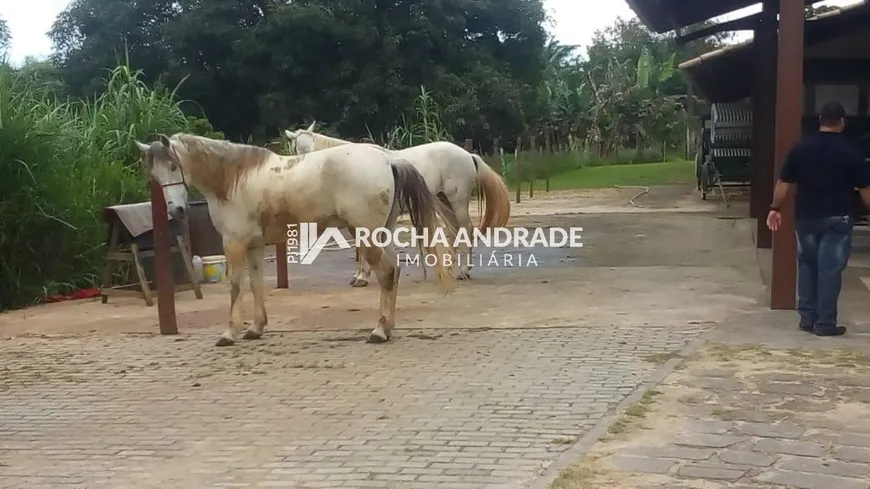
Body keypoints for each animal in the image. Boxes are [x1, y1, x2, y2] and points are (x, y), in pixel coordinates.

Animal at [135, 133, 456, 346]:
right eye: (154, 174)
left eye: (174, 166)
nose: (176, 210)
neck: (234, 180)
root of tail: (389, 159)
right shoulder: (254, 246)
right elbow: (256, 284)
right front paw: (255, 329)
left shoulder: (234, 244)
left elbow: (236, 286)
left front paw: (229, 334)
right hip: (380, 233)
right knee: (393, 271)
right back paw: (387, 328)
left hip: (367, 236)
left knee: (387, 273)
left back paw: (378, 331)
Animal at [286, 121, 510, 286]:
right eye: (296, 148)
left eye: (310, 149)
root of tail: (468, 155)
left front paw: (362, 277)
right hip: (443, 201)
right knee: (455, 231)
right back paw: (451, 268)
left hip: (458, 201)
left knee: (467, 229)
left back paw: (464, 271)